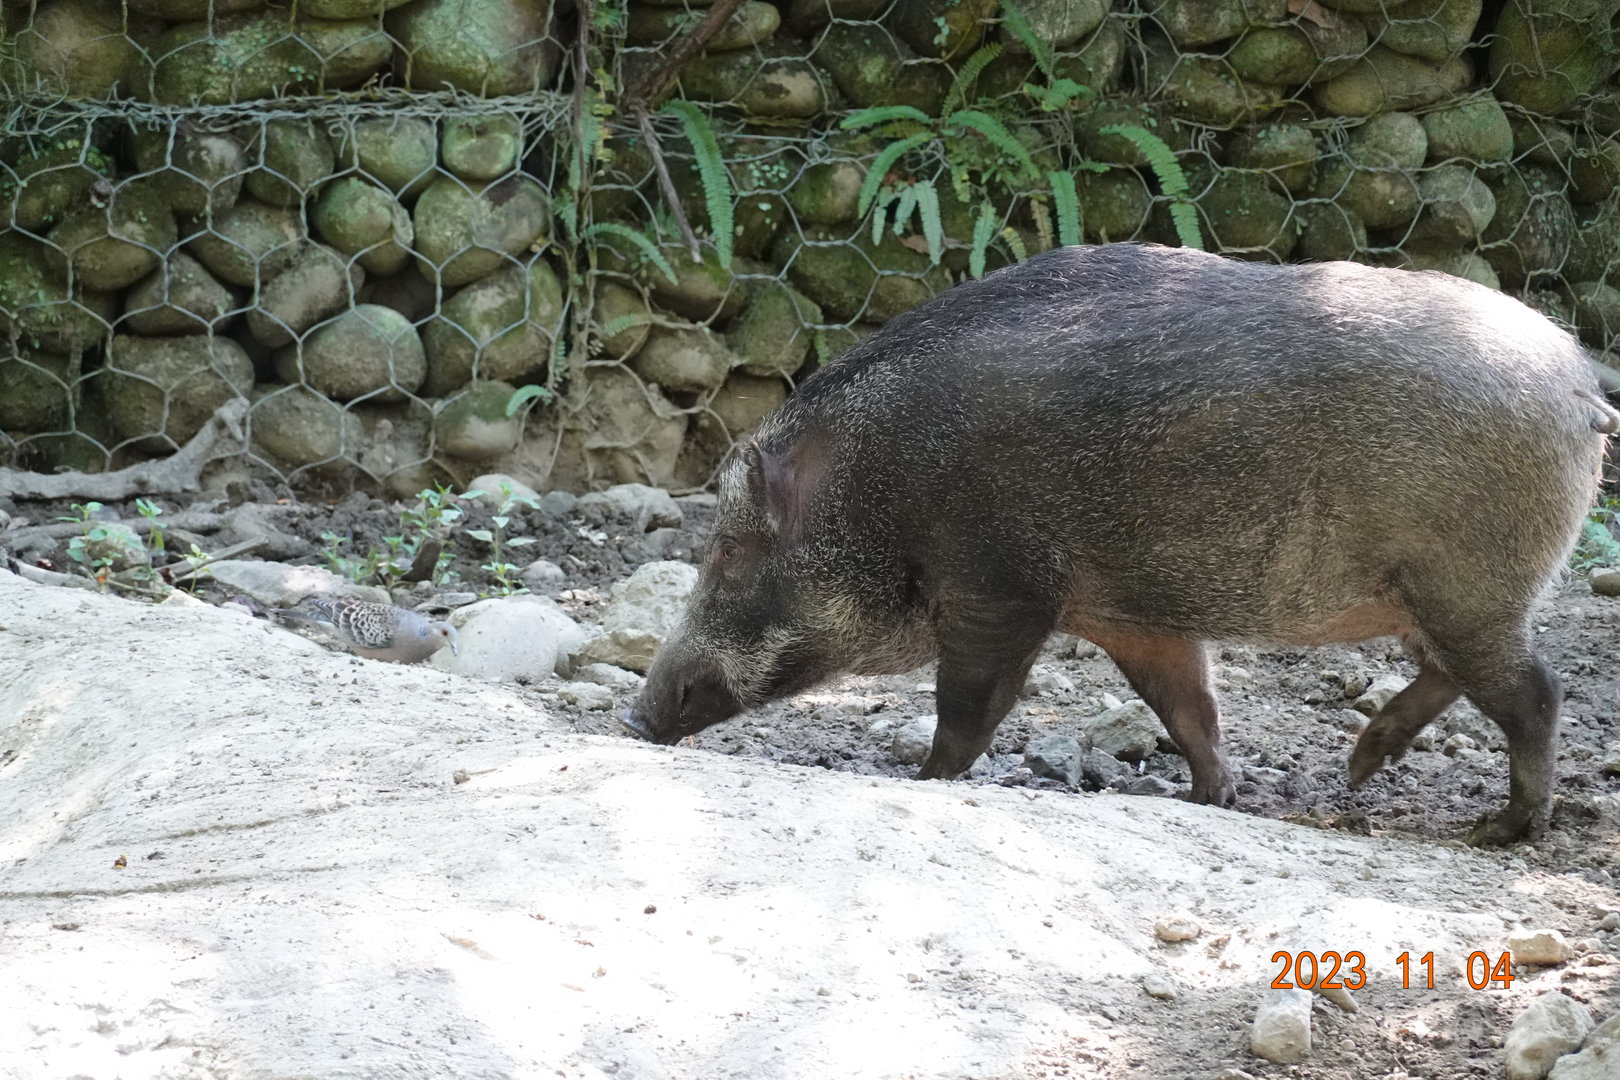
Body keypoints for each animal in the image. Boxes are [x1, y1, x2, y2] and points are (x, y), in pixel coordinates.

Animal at [622, 242, 1618, 846]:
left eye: (729, 551)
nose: (633, 719)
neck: (879, 485)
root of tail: (1579, 385)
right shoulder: (1134, 617)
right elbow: (1187, 708)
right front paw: (1209, 798)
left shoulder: (999, 589)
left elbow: (970, 706)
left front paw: (923, 777)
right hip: (1439, 596)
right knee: (1458, 674)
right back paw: (1360, 766)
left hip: (1467, 583)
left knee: (1536, 689)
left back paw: (1502, 830)